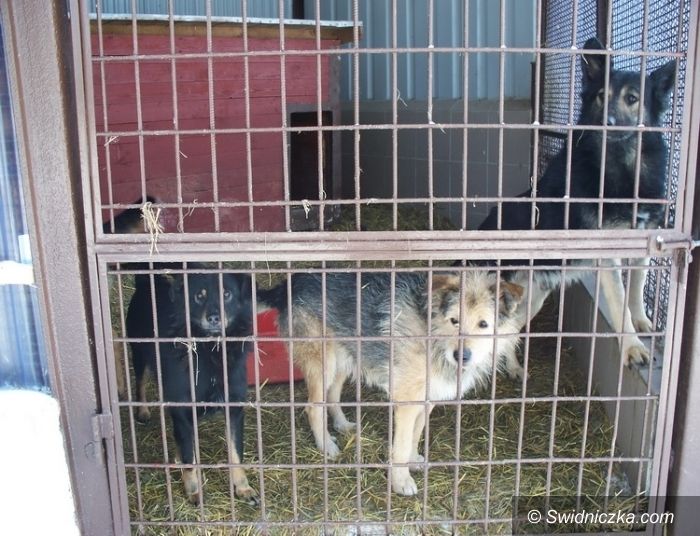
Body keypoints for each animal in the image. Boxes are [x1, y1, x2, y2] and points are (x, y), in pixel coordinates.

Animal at [126, 263, 257, 505]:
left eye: (227, 294)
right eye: (199, 296)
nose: (214, 317)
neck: (211, 352)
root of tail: (147, 282)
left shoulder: (234, 409)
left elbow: (236, 453)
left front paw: (243, 488)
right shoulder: (183, 409)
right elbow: (190, 458)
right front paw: (195, 491)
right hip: (140, 355)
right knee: (140, 382)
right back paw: (143, 411)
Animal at [258, 270, 523, 496]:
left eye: (483, 324)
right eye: (454, 321)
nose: (462, 355)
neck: (433, 336)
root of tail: (290, 282)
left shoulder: (426, 402)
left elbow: (415, 435)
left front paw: (414, 460)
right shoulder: (406, 404)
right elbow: (401, 445)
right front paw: (401, 482)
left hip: (344, 361)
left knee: (332, 398)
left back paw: (343, 426)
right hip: (324, 364)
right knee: (313, 408)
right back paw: (327, 446)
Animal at [478, 37, 676, 378]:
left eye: (632, 98)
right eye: (600, 96)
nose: (606, 123)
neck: (622, 168)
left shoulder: (646, 238)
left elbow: (637, 287)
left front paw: (642, 321)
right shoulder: (607, 254)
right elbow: (620, 303)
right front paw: (633, 346)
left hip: (530, 299)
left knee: (507, 333)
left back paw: (514, 368)